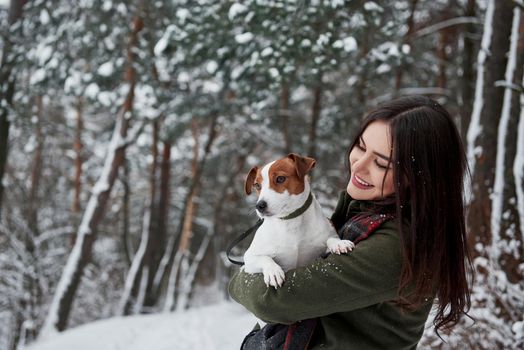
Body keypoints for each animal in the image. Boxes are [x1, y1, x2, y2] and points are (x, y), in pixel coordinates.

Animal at [244, 152, 354, 288]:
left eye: (280, 179)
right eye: (257, 185)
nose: (259, 206)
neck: (290, 220)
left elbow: (331, 238)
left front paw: (339, 243)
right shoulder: (248, 260)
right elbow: (264, 258)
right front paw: (273, 271)